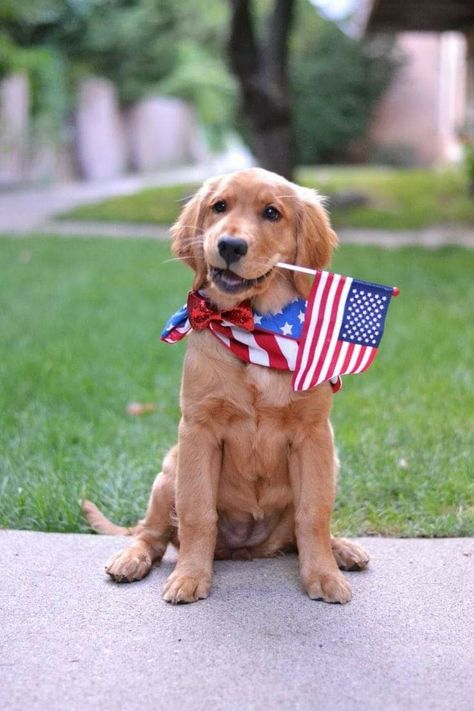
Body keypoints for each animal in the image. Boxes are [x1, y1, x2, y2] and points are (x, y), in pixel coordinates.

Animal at [83, 168, 368, 608]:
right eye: (219, 206)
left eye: (272, 213)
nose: (230, 245)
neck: (254, 327)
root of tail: (247, 550)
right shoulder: (198, 429)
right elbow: (199, 513)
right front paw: (190, 577)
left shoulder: (314, 434)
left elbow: (313, 514)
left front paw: (323, 575)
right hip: (170, 469)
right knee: (152, 534)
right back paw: (131, 559)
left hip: (330, 462)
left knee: (298, 533)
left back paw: (342, 550)